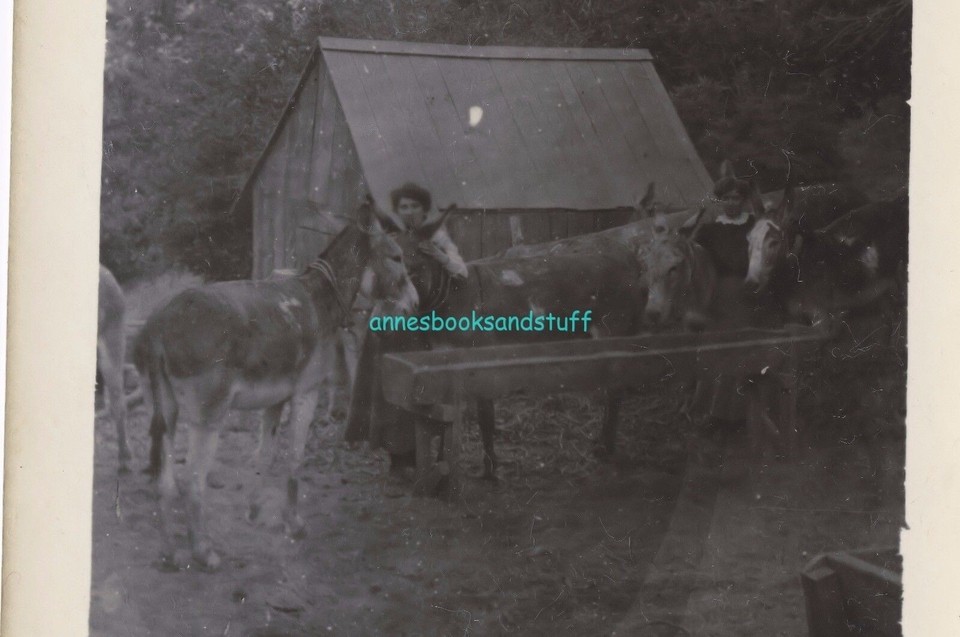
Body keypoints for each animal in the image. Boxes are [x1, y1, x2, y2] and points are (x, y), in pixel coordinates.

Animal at [133, 198, 419, 570]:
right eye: (396, 257)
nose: (415, 304)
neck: (320, 298)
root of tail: (159, 326)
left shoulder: (274, 399)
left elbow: (264, 456)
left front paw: (254, 511)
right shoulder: (306, 392)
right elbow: (294, 458)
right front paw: (293, 523)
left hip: (165, 408)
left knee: (164, 481)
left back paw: (170, 553)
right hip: (208, 416)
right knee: (192, 480)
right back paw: (204, 552)